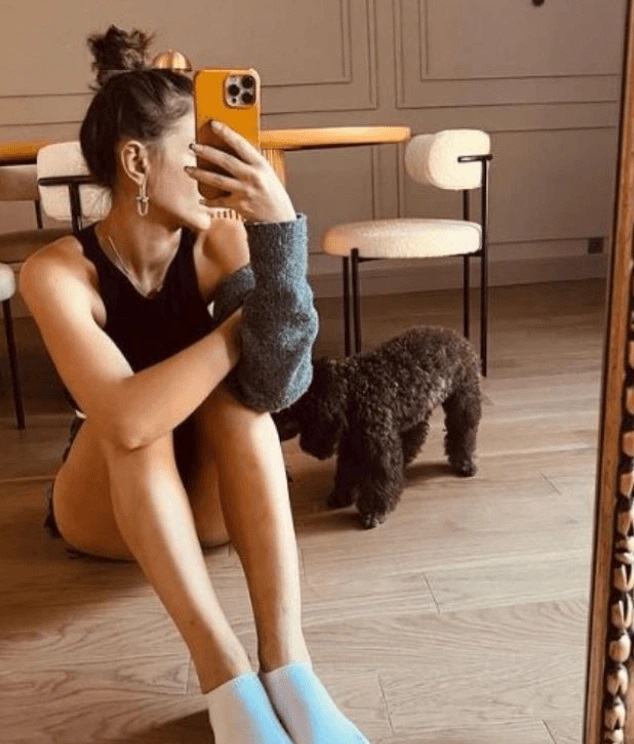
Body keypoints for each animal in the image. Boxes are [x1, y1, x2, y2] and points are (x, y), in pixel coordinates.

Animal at [273, 326, 482, 528]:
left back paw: (464, 463)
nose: (272, 423)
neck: (353, 391)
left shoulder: (379, 450)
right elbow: (345, 472)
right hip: (415, 411)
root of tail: (456, 336)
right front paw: (341, 496)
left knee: (463, 433)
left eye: (288, 406)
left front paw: (374, 512)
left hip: (463, 402)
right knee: (416, 436)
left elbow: (378, 482)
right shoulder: (352, 444)